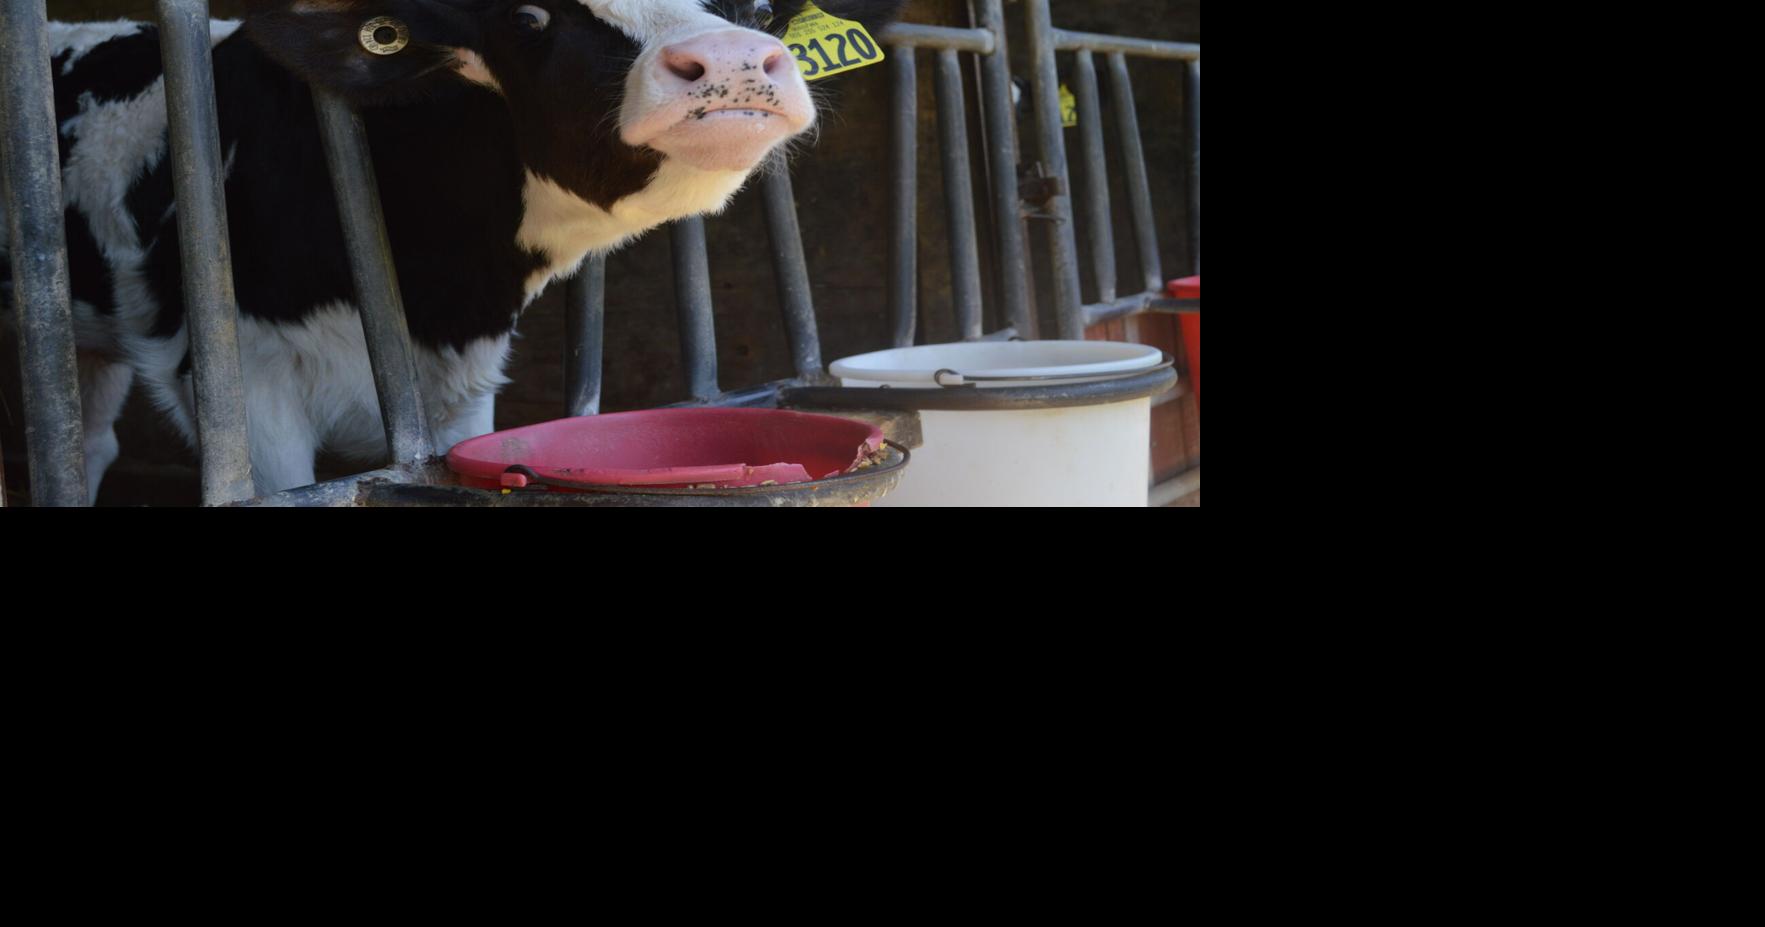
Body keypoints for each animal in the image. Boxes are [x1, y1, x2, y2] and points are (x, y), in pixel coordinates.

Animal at [1, 0, 905, 501]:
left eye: (753, 8)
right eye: (527, 17)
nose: (730, 63)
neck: (443, 288)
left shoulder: (464, 386)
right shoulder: (244, 380)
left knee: (85, 442)